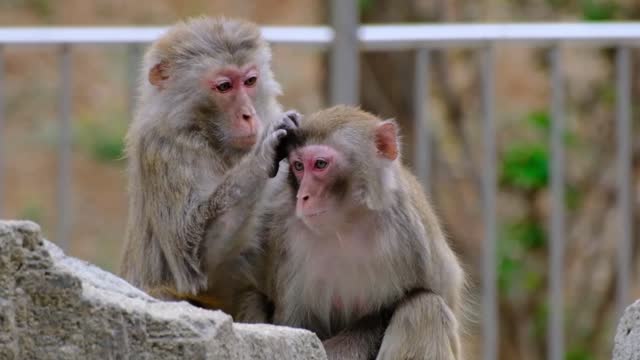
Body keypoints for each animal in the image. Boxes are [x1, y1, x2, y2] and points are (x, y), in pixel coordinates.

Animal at [120, 17, 300, 316]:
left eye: (250, 81)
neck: (209, 135)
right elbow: (196, 257)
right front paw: (263, 154)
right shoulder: (164, 147)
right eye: (225, 86)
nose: (248, 115)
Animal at [239, 105, 464, 358]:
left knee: (425, 306)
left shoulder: (414, 236)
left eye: (320, 164)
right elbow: (296, 328)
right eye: (298, 166)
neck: (347, 225)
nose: (303, 196)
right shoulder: (286, 235)